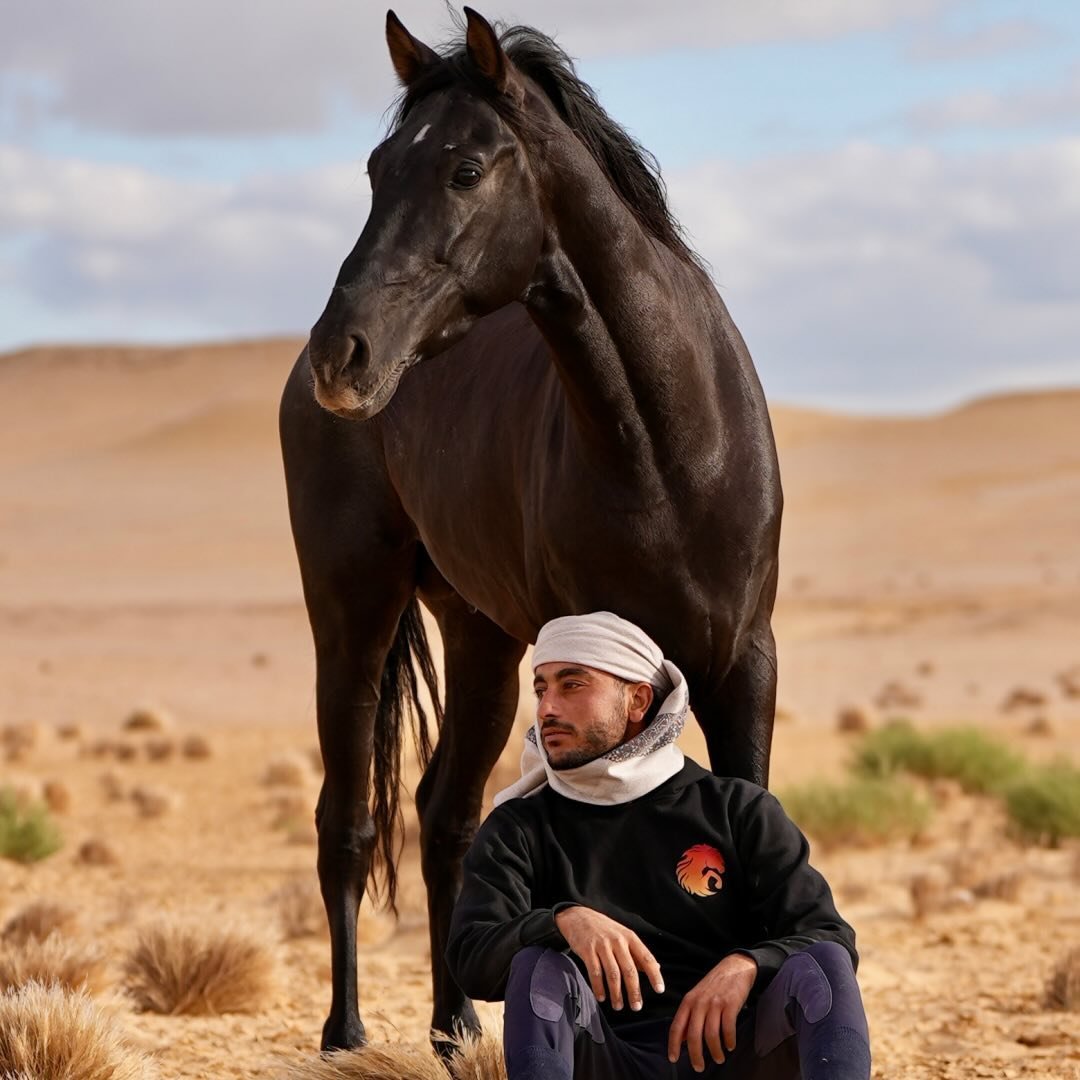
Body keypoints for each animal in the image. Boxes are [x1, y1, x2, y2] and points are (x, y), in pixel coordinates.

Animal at [280, 8, 777, 1054]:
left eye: (466, 169)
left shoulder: (745, 660)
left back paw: (457, 1026)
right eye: (378, 168)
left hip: (479, 636)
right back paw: (347, 1033)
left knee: (444, 814)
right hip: (353, 617)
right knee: (350, 819)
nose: (343, 354)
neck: (669, 445)